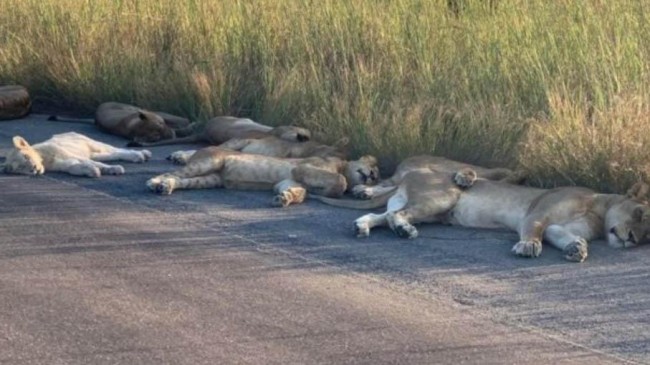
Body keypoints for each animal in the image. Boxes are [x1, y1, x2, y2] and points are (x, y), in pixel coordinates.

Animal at [1, 132, 151, 177]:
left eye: (26, 157)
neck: (45, 160)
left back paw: (141, 154)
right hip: (94, 153)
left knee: (117, 149)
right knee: (111, 154)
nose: (33, 169)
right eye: (20, 168)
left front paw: (114, 169)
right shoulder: (66, 164)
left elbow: (96, 164)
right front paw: (91, 171)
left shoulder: (69, 155)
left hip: (93, 143)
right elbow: (76, 167)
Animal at [144, 146, 378, 208]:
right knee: (174, 172)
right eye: (373, 167)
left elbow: (299, 192)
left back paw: (165, 187)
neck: (342, 165)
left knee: (181, 180)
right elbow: (341, 181)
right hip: (210, 161)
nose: (372, 176)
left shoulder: (288, 180)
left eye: (377, 177)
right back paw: (153, 182)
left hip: (209, 179)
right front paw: (332, 189)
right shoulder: (302, 168)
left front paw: (284, 198)